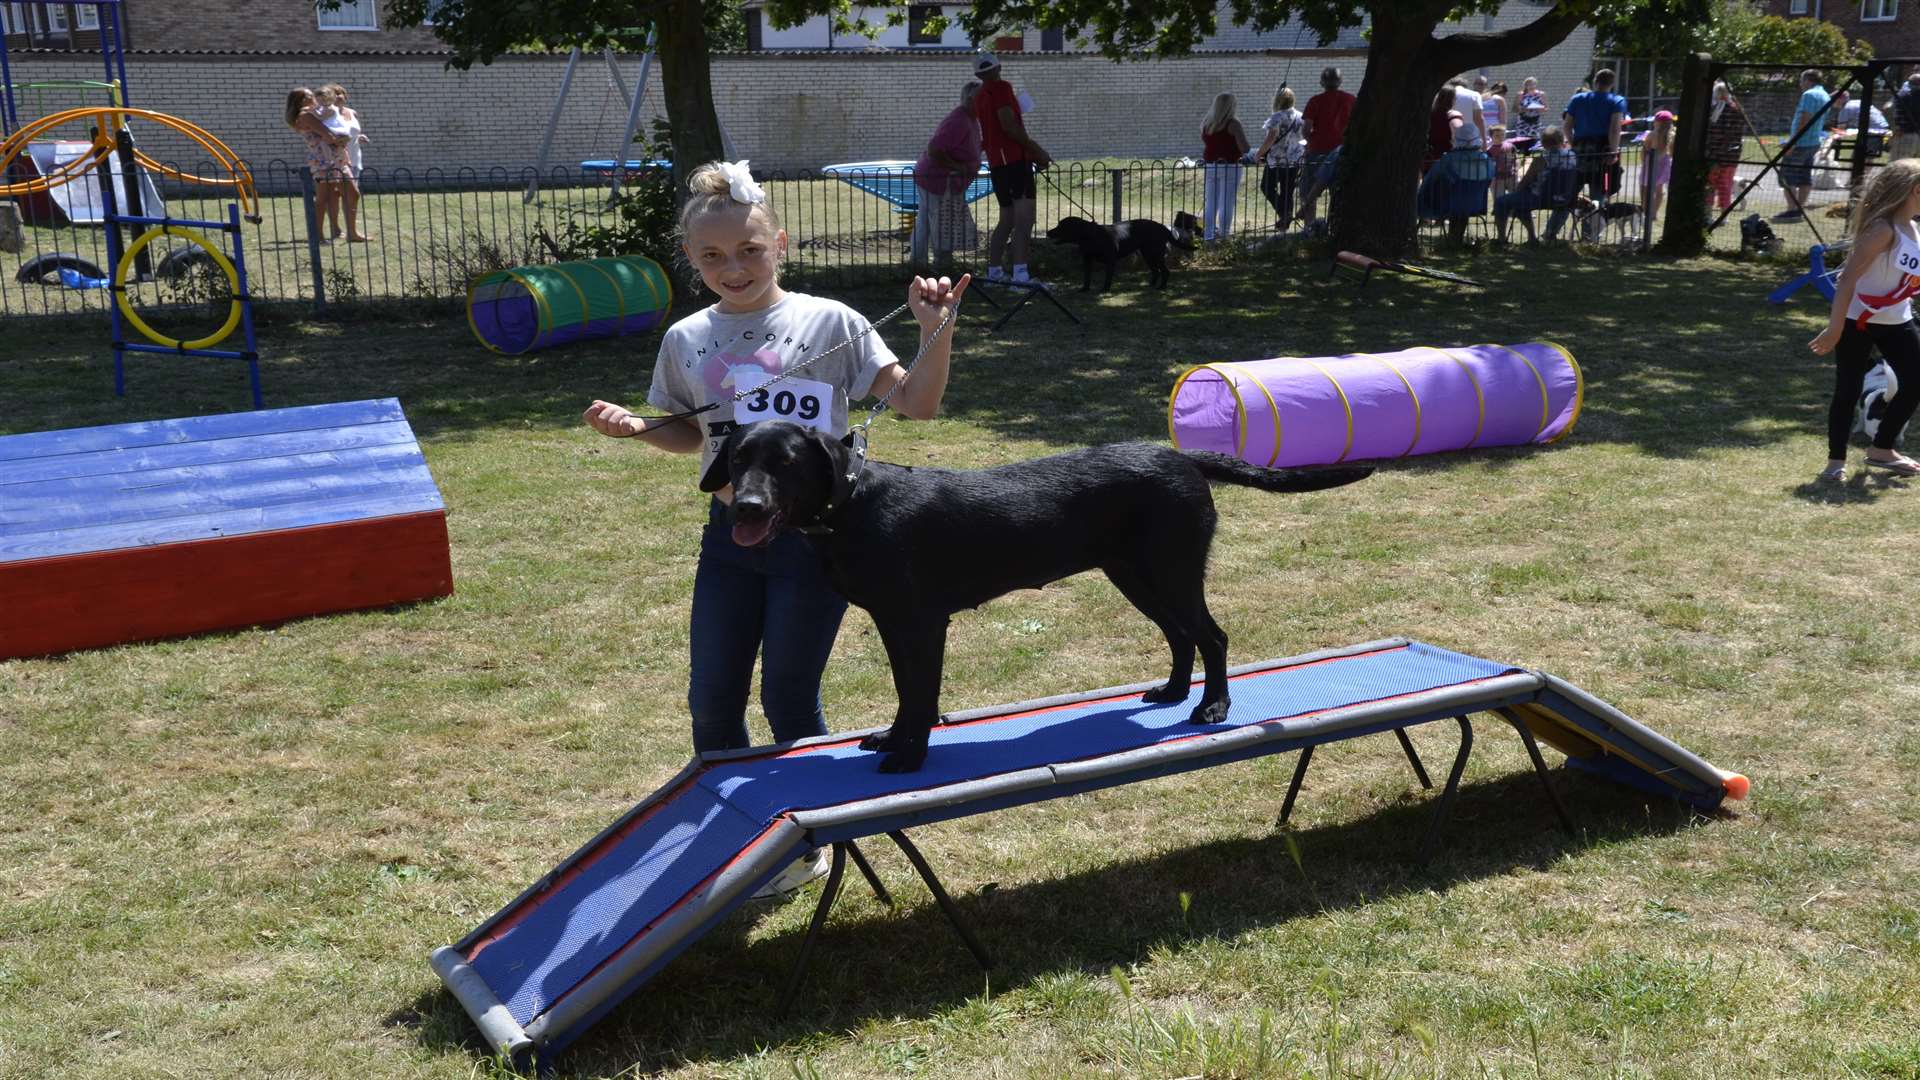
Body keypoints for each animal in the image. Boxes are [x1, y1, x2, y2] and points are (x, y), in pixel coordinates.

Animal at [714, 420, 1374, 772]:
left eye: (786, 462)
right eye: (739, 458)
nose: (745, 506)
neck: (852, 505)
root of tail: (1181, 456)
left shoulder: (920, 622)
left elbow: (919, 694)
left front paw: (909, 754)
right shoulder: (893, 622)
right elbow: (906, 693)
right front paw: (892, 739)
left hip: (1172, 571)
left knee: (1211, 635)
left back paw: (1212, 706)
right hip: (1134, 576)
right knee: (1180, 635)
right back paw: (1171, 692)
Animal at [1052, 214, 1182, 288]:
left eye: (1061, 226)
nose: (1049, 232)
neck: (1091, 236)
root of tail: (1163, 227)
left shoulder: (1110, 261)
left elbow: (1108, 277)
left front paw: (1105, 289)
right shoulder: (1087, 260)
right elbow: (1087, 277)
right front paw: (1084, 289)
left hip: (1155, 254)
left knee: (1165, 271)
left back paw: (1162, 287)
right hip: (1148, 255)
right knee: (1156, 271)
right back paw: (1150, 286)